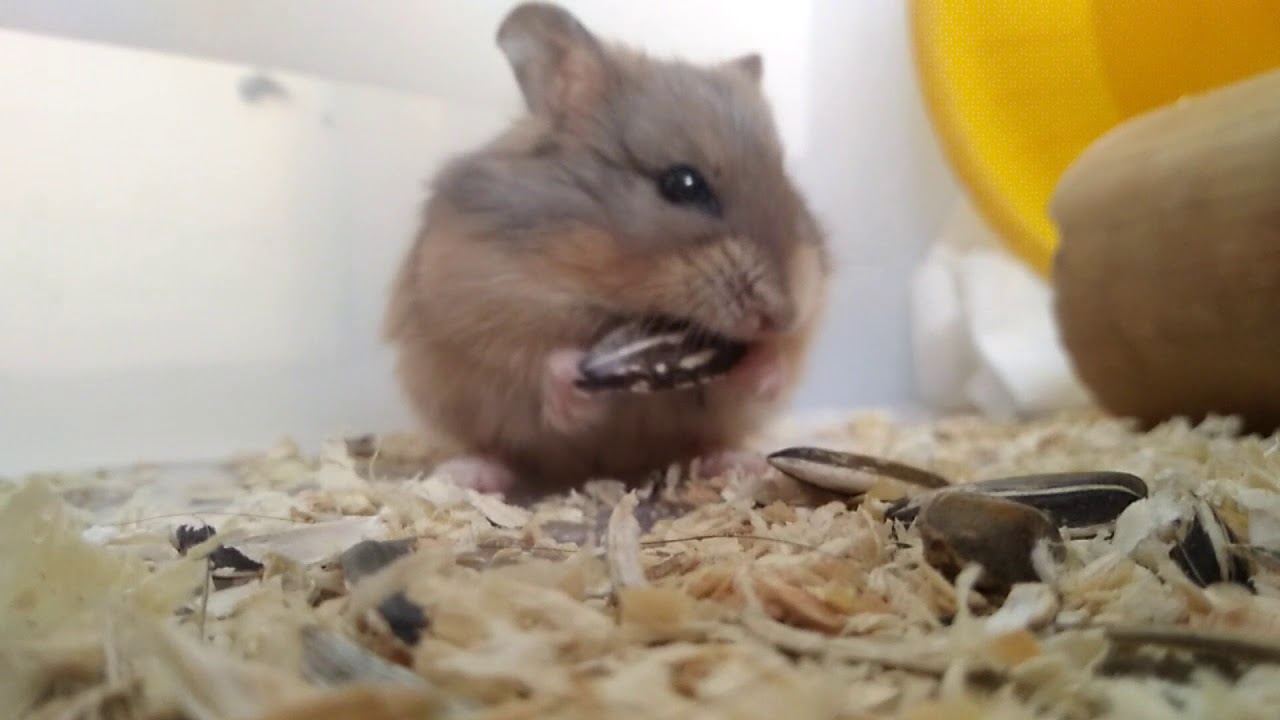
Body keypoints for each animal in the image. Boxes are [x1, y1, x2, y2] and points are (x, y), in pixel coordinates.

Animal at [384, 2, 832, 499]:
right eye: (682, 183)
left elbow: (770, 371)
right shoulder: (477, 308)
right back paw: (467, 474)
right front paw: (570, 378)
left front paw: (766, 359)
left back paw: (738, 463)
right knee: (493, 448)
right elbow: (536, 365)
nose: (782, 316)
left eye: (786, 182)